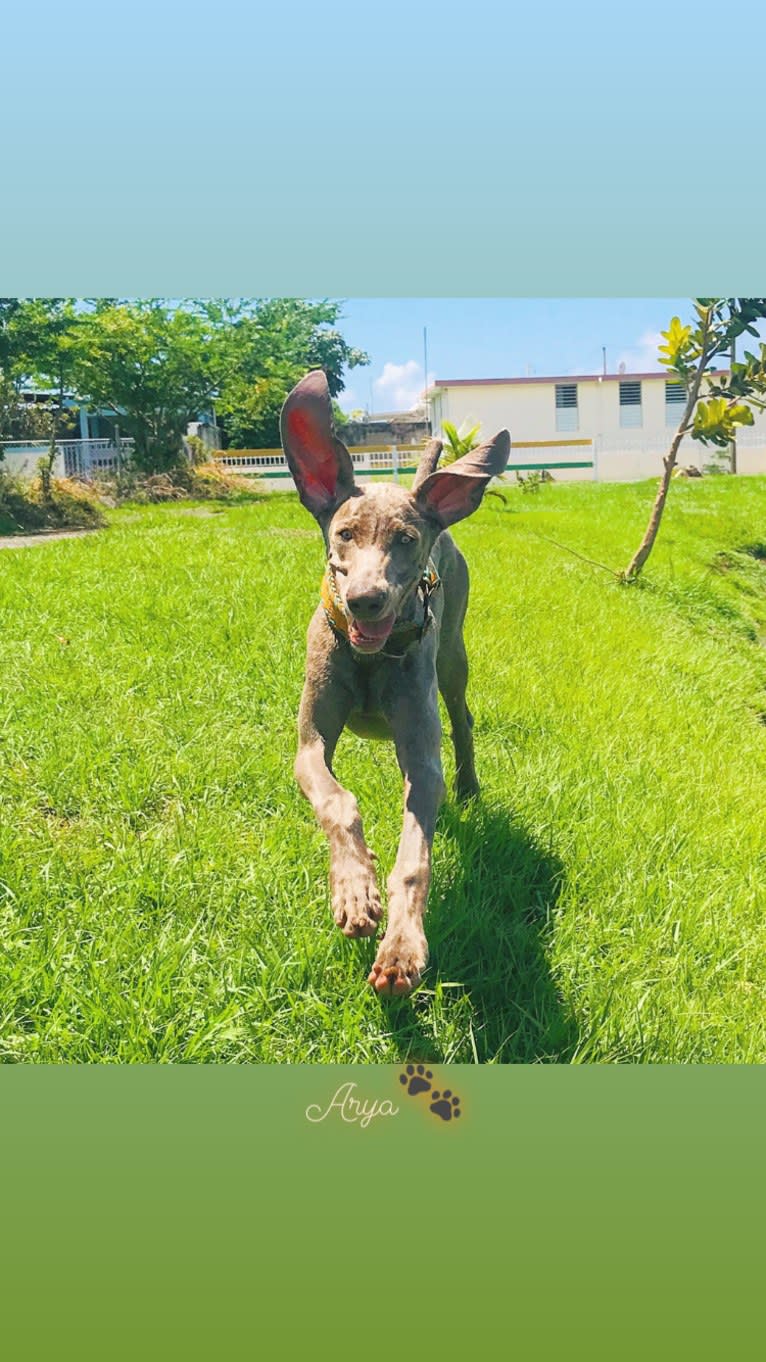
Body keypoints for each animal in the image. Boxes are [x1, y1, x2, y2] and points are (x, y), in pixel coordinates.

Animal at [279, 367, 507, 996]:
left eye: (406, 539)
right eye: (344, 534)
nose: (365, 599)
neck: (370, 659)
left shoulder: (422, 758)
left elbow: (414, 860)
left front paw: (401, 949)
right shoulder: (309, 744)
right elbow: (338, 801)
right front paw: (355, 891)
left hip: (451, 657)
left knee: (463, 720)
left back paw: (470, 787)